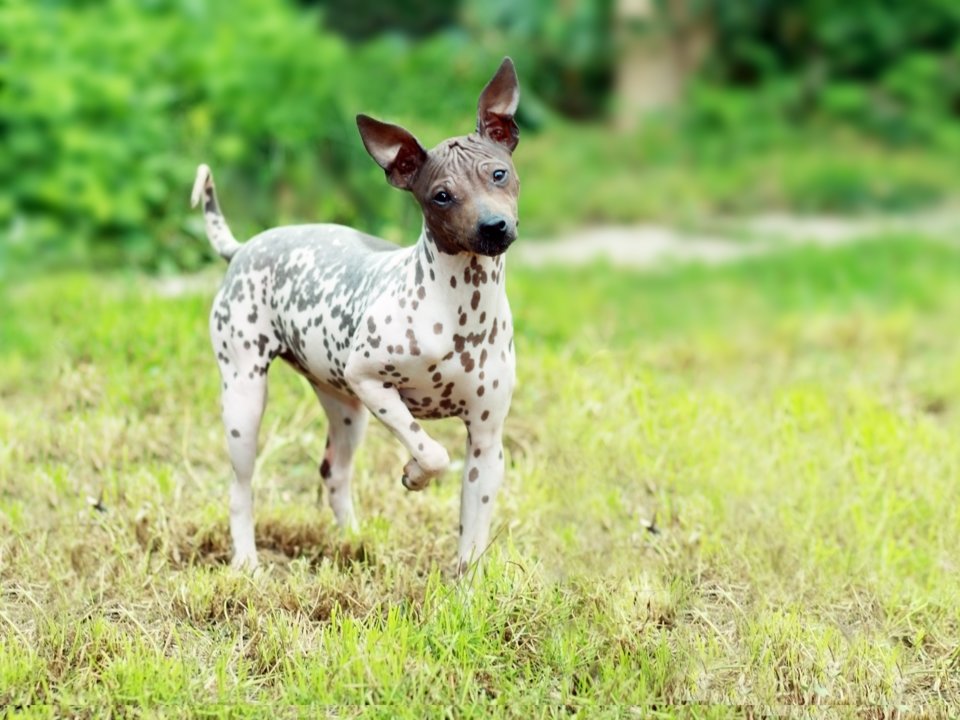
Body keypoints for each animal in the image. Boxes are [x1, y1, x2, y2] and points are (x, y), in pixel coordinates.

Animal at [191, 57, 520, 572]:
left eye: (499, 174)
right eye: (441, 195)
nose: (493, 227)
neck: (460, 311)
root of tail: (243, 247)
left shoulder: (487, 443)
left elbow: (472, 537)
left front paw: (465, 586)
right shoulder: (371, 382)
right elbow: (432, 451)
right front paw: (413, 474)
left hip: (345, 409)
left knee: (334, 472)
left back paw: (355, 541)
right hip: (245, 399)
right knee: (240, 487)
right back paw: (247, 562)